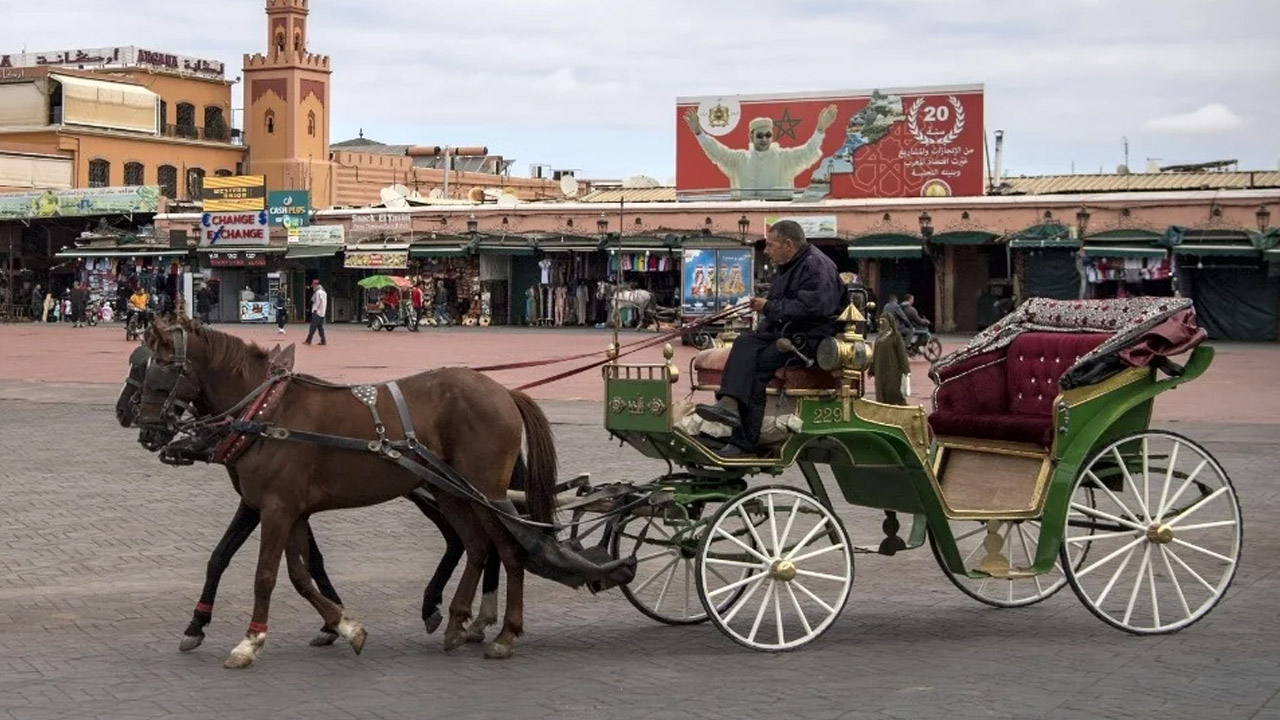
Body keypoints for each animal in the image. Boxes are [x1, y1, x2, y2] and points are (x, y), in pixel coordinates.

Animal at [132, 313, 558, 666]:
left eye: (162, 368)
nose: (145, 428)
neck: (269, 412)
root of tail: (504, 392)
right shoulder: (290, 510)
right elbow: (300, 575)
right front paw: (344, 626)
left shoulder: (276, 508)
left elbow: (265, 575)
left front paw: (250, 641)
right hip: (452, 493)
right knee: (477, 547)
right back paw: (457, 622)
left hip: (486, 492)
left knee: (509, 551)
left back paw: (505, 634)